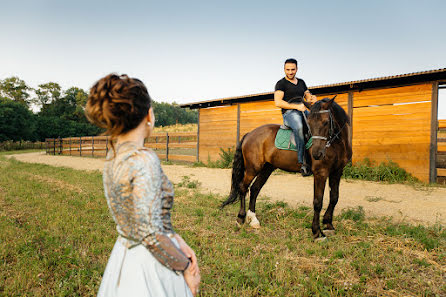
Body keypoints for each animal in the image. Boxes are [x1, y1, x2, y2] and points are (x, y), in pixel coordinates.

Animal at [220, 96, 352, 239]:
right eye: (309, 124)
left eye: (326, 122)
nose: (317, 154)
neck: (336, 144)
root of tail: (250, 134)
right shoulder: (320, 173)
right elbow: (318, 202)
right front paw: (317, 232)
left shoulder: (337, 171)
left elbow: (334, 197)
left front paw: (328, 224)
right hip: (252, 168)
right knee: (243, 188)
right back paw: (240, 218)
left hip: (267, 168)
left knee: (255, 189)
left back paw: (254, 220)